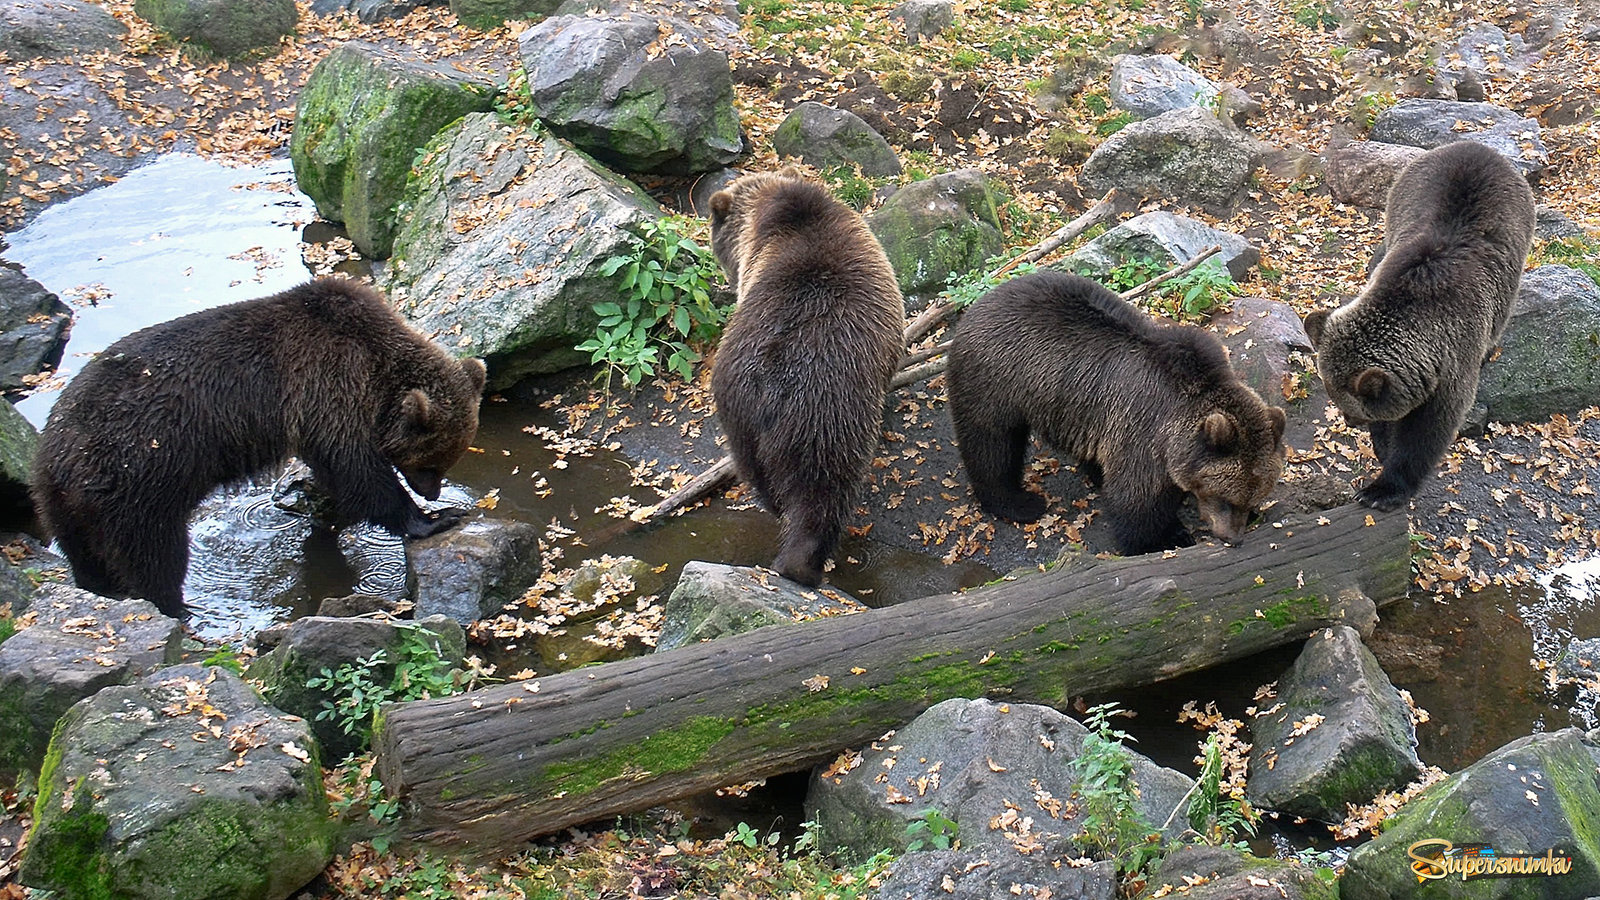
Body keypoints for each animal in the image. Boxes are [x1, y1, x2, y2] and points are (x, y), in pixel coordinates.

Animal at [31, 277, 480, 611]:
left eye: (449, 458)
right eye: (431, 461)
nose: (433, 490)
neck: (376, 373)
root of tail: (56, 448)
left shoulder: (314, 416)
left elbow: (334, 475)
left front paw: (324, 512)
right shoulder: (328, 384)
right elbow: (361, 472)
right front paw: (434, 518)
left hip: (63, 501)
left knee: (85, 553)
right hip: (139, 476)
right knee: (154, 554)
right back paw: (177, 606)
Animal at [707, 170, 908, 586]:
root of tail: (768, 385)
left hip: (740, 421)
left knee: (765, 481)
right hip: (827, 410)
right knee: (824, 489)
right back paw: (806, 564)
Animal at [947, 267, 1286, 554]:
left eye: (1252, 496)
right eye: (1226, 498)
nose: (1234, 538)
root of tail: (981, 301)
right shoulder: (1144, 431)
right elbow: (1137, 499)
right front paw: (1164, 537)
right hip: (995, 380)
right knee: (992, 444)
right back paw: (1018, 502)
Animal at [1299, 139, 1536, 509]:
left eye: (1352, 407)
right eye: (1335, 398)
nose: (1350, 420)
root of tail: (1476, 145)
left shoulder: (1455, 356)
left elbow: (1428, 430)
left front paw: (1382, 489)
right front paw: (1383, 448)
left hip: (1515, 245)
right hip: (1402, 197)